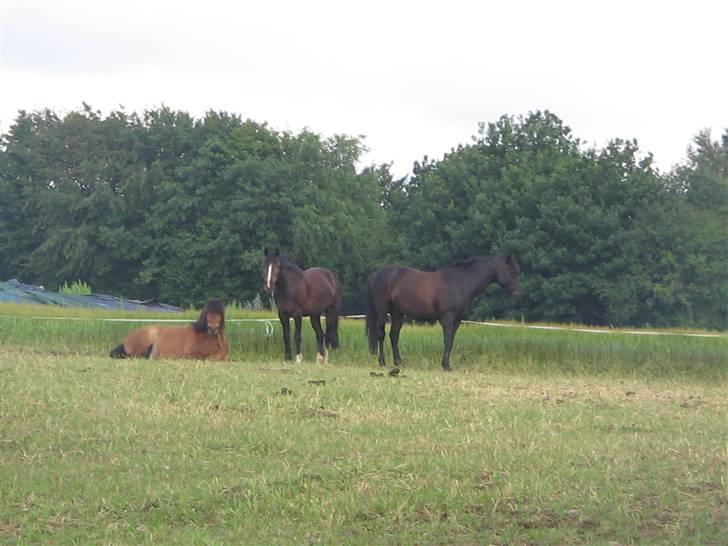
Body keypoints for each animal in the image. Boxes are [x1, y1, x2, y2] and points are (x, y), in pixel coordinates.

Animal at [366, 255, 520, 370]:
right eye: (512, 271)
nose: (518, 293)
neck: (460, 283)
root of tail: (376, 274)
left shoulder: (457, 320)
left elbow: (450, 341)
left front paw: (446, 364)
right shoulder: (447, 318)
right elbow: (447, 341)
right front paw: (446, 366)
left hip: (397, 314)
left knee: (394, 335)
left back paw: (399, 362)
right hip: (382, 312)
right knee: (381, 335)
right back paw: (382, 362)